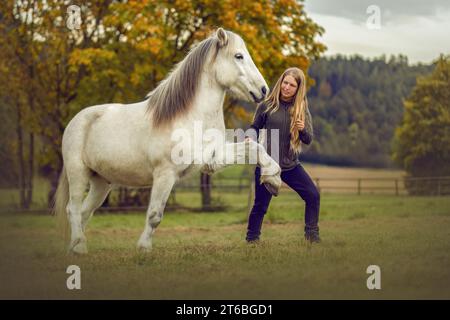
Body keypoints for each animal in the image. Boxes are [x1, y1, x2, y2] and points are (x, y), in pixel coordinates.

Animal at [53, 27, 282, 254]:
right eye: (238, 56)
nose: (263, 90)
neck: (191, 118)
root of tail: (76, 120)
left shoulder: (212, 159)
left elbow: (254, 148)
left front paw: (273, 179)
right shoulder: (165, 174)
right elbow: (155, 215)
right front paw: (144, 249)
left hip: (101, 182)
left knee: (85, 212)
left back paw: (76, 247)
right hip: (78, 174)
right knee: (73, 209)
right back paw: (79, 246)